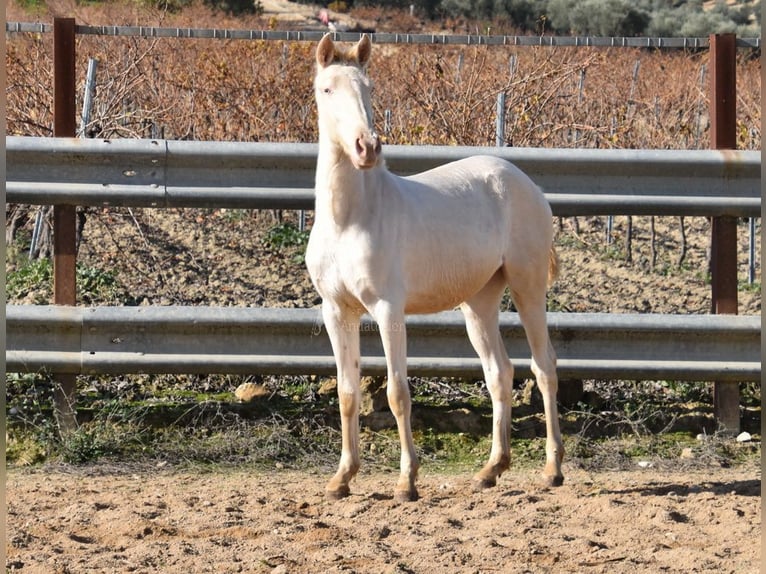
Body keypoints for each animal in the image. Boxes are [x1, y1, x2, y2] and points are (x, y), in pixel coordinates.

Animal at [306, 35, 564, 504]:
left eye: (369, 88)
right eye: (327, 89)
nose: (367, 148)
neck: (350, 220)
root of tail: (527, 183)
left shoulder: (388, 310)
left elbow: (396, 392)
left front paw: (407, 482)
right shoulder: (337, 311)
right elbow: (348, 392)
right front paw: (342, 479)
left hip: (528, 286)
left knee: (544, 367)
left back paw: (553, 470)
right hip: (479, 302)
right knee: (499, 373)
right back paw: (490, 470)